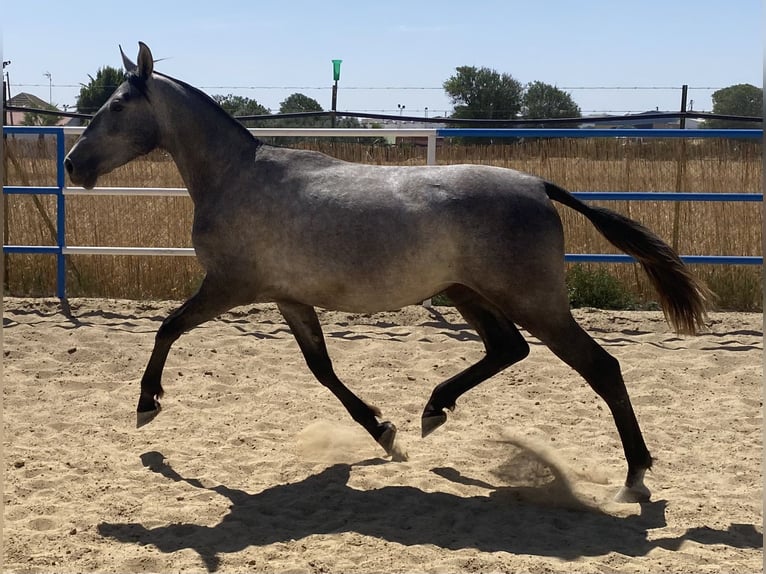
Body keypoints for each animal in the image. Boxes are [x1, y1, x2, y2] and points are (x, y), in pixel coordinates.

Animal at [63, 44, 712, 504]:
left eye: (117, 106)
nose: (72, 164)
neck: (236, 176)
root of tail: (537, 185)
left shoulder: (229, 286)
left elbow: (168, 328)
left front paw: (147, 404)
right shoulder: (288, 298)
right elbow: (322, 369)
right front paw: (382, 431)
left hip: (534, 301)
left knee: (600, 366)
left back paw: (635, 476)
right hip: (467, 291)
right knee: (508, 349)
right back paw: (433, 410)